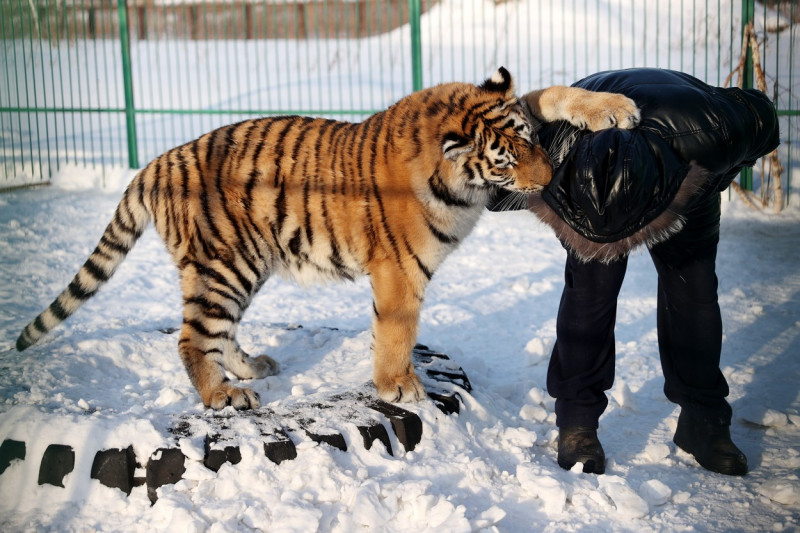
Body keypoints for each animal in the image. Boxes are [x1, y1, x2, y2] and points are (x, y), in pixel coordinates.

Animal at [15, 68, 640, 410]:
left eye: (532, 141)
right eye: (506, 160)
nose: (549, 179)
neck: (461, 179)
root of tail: (157, 162)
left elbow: (550, 91)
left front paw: (616, 109)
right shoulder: (400, 270)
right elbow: (396, 332)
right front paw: (399, 387)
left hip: (242, 268)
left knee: (218, 335)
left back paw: (250, 369)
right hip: (222, 267)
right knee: (192, 339)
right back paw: (224, 396)